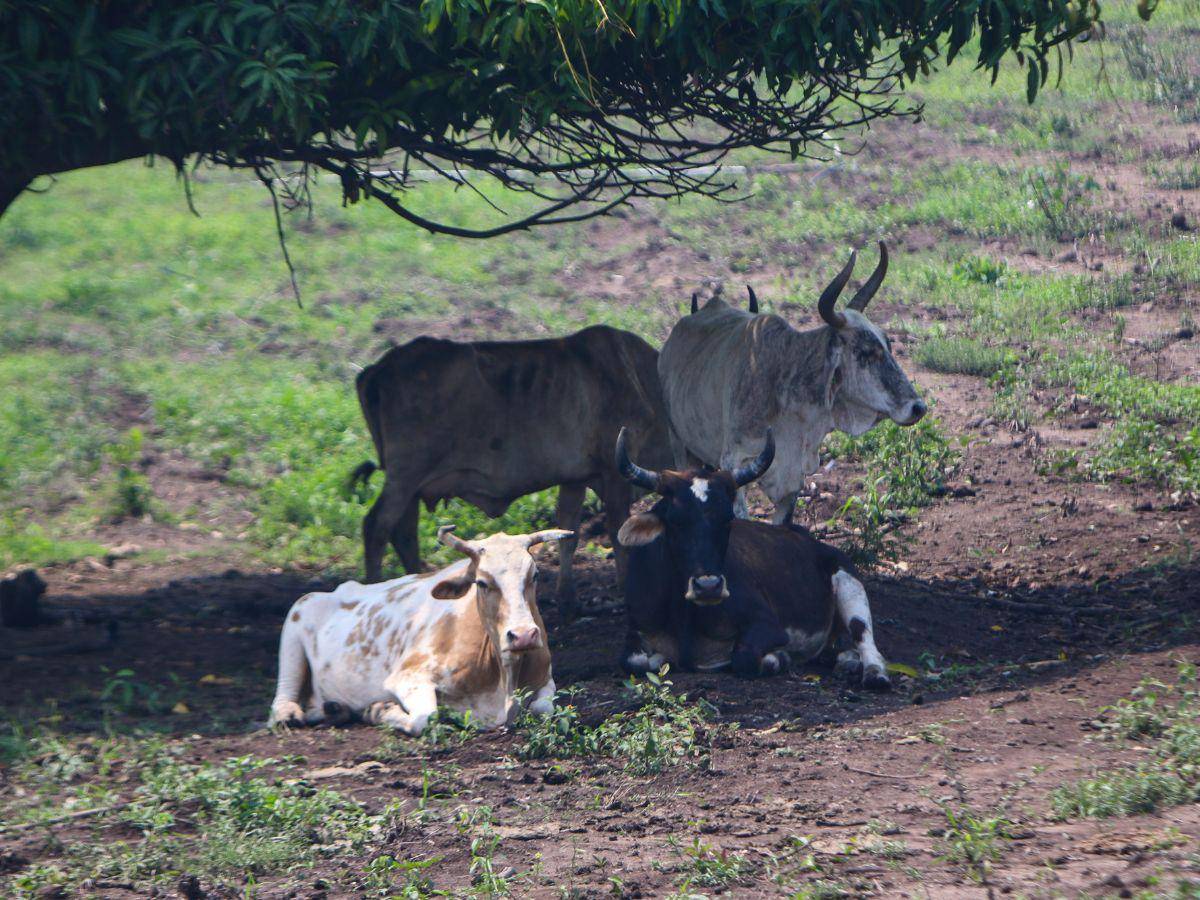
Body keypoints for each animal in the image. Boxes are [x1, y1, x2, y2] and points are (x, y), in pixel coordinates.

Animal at [272, 525, 571, 734]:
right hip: (296, 618)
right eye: (482, 582)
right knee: (282, 696)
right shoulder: (407, 676)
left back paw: (335, 709)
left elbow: (545, 709)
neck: (504, 680)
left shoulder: (546, 679)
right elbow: (424, 718)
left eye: (534, 575)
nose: (523, 635)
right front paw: (380, 710)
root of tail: (337, 589)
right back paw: (290, 714)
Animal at [619, 429, 892, 691]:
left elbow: (744, 657)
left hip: (849, 583)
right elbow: (635, 661)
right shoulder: (637, 627)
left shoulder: (768, 625)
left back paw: (874, 674)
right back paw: (846, 662)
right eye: (674, 520)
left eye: (727, 519)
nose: (708, 586)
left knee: (865, 640)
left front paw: (777, 658)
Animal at [657, 243, 926, 525]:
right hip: (680, 445)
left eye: (888, 344)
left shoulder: (792, 482)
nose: (917, 407)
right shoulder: (734, 462)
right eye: (865, 351)